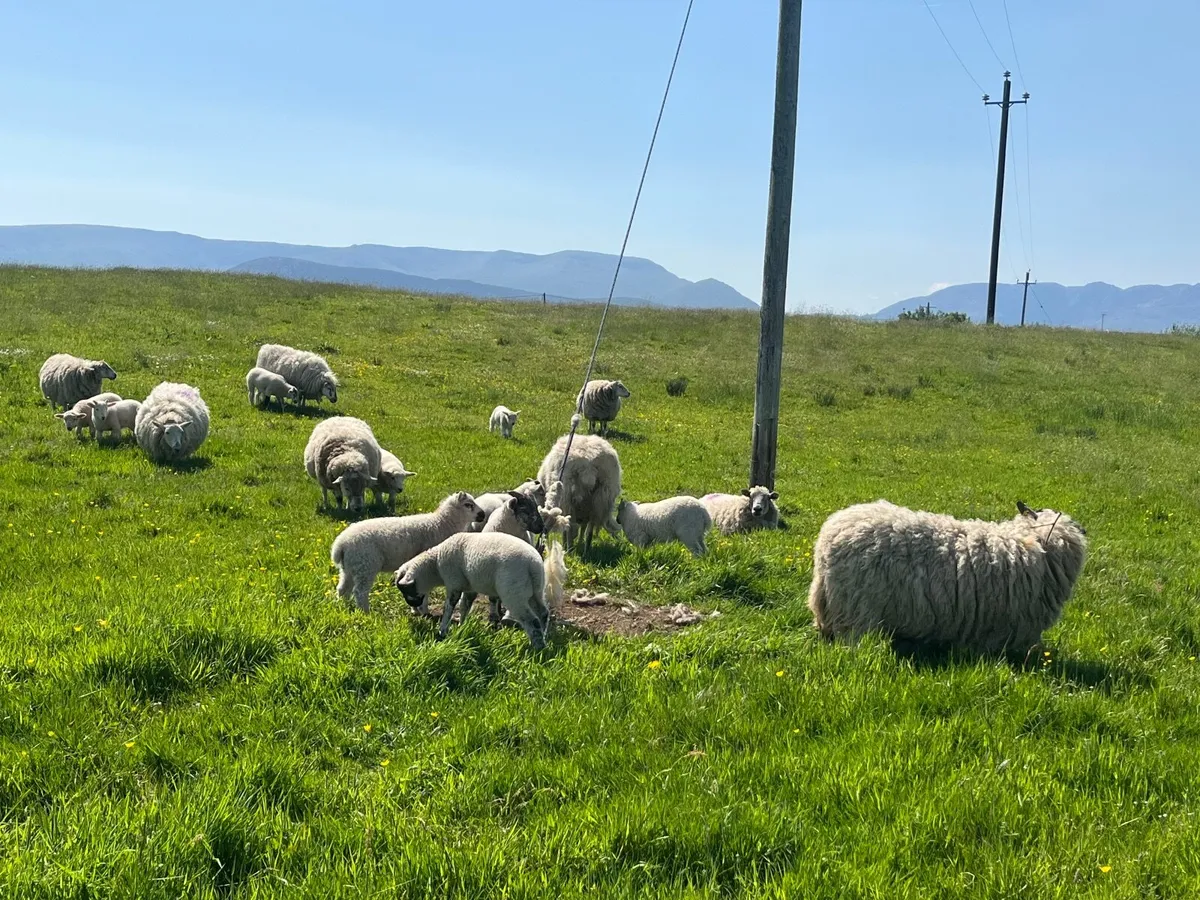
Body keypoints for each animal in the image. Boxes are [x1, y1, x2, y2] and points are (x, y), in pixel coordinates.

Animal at [331, 491, 486, 613]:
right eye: (468, 505)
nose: (483, 515)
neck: (441, 523)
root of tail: (340, 544)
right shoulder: (426, 563)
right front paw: (423, 611)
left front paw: (416, 610)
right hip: (365, 565)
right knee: (360, 592)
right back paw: (366, 613)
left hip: (350, 567)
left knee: (342, 589)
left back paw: (342, 607)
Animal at [393, 532, 567, 650]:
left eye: (405, 590)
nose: (412, 604)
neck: (435, 565)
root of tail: (532, 565)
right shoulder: (469, 587)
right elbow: (465, 606)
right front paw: (461, 626)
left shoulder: (454, 583)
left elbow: (449, 607)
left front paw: (443, 631)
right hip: (535, 591)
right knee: (543, 613)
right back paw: (544, 636)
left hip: (513, 593)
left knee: (532, 620)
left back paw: (537, 649)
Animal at [807, 499, 1089, 656]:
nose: (1085, 530)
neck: (1031, 541)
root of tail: (829, 536)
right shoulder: (999, 626)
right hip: (856, 611)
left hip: (828, 605)